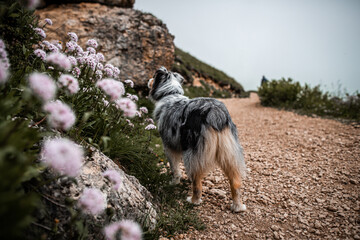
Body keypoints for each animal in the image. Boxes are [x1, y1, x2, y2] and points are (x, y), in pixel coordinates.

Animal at [148, 66, 246, 211]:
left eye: (154, 77)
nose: (148, 80)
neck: (170, 94)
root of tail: (215, 113)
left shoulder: (168, 146)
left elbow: (174, 168)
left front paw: (173, 183)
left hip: (192, 154)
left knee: (197, 183)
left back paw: (194, 200)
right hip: (229, 153)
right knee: (236, 181)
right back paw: (237, 206)